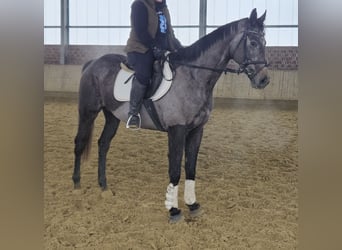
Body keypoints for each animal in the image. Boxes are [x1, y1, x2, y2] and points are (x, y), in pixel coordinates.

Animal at [72, 8, 270, 223]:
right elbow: (174, 170)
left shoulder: (196, 130)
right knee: (80, 143)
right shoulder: (177, 129)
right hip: (88, 112)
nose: (264, 80)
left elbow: (190, 167)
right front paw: (173, 210)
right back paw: (76, 186)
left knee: (103, 144)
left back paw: (104, 187)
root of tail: (92, 63)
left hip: (112, 116)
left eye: (265, 42)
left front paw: (193, 205)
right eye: (253, 43)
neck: (194, 77)